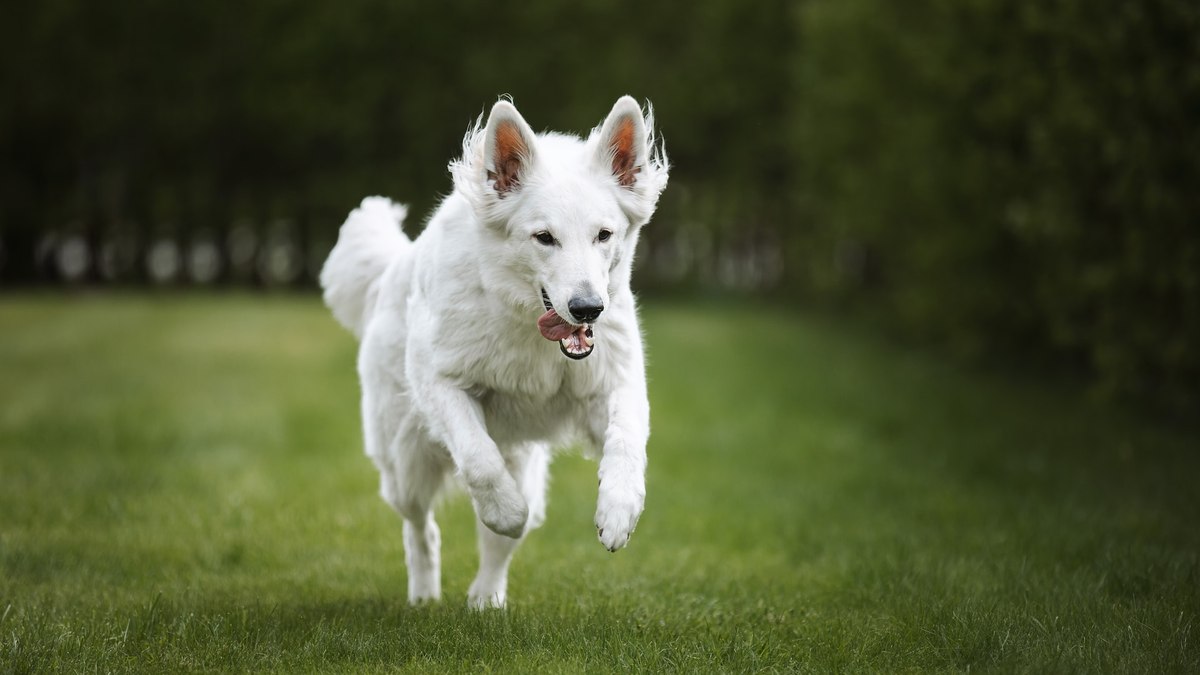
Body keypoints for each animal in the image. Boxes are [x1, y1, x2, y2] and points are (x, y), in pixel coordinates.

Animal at [319, 94, 672, 605]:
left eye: (604, 235)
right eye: (544, 237)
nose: (588, 309)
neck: (529, 328)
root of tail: (392, 269)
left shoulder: (613, 384)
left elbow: (626, 441)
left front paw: (619, 511)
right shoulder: (440, 382)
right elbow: (479, 461)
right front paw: (505, 509)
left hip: (522, 465)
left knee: (496, 549)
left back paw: (486, 600)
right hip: (405, 463)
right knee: (421, 528)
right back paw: (424, 594)